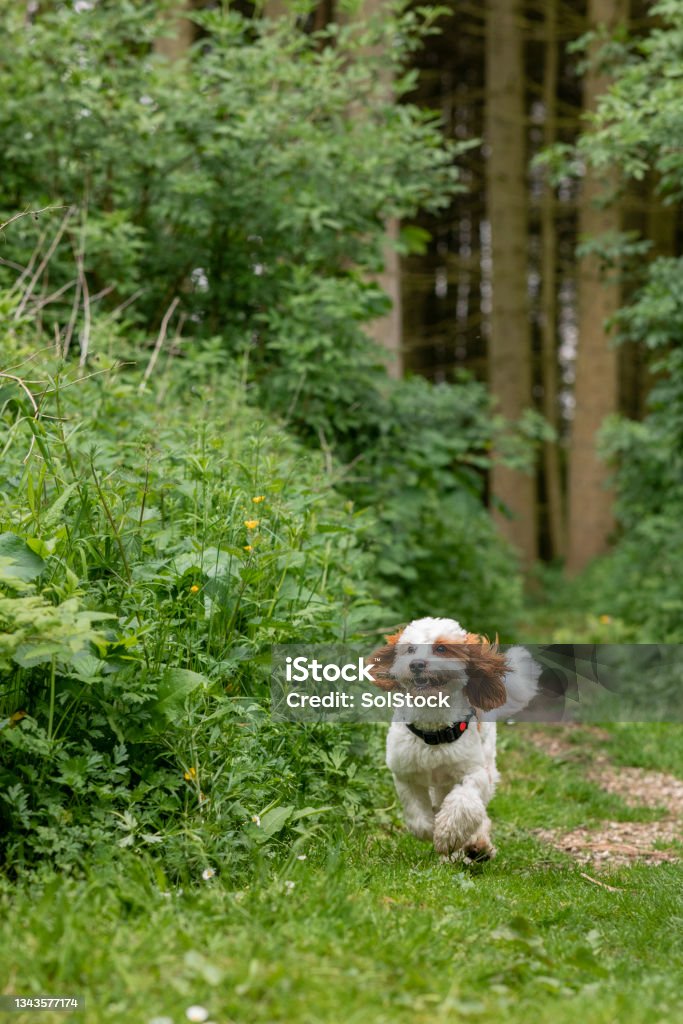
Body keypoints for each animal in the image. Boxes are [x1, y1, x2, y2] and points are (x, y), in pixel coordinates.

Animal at [370, 618, 540, 860]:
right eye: (410, 649)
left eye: (441, 648)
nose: (416, 664)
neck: (433, 730)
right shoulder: (405, 774)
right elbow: (417, 816)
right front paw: (431, 829)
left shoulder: (474, 773)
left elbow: (464, 804)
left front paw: (447, 835)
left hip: (485, 764)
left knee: (478, 810)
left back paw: (477, 845)